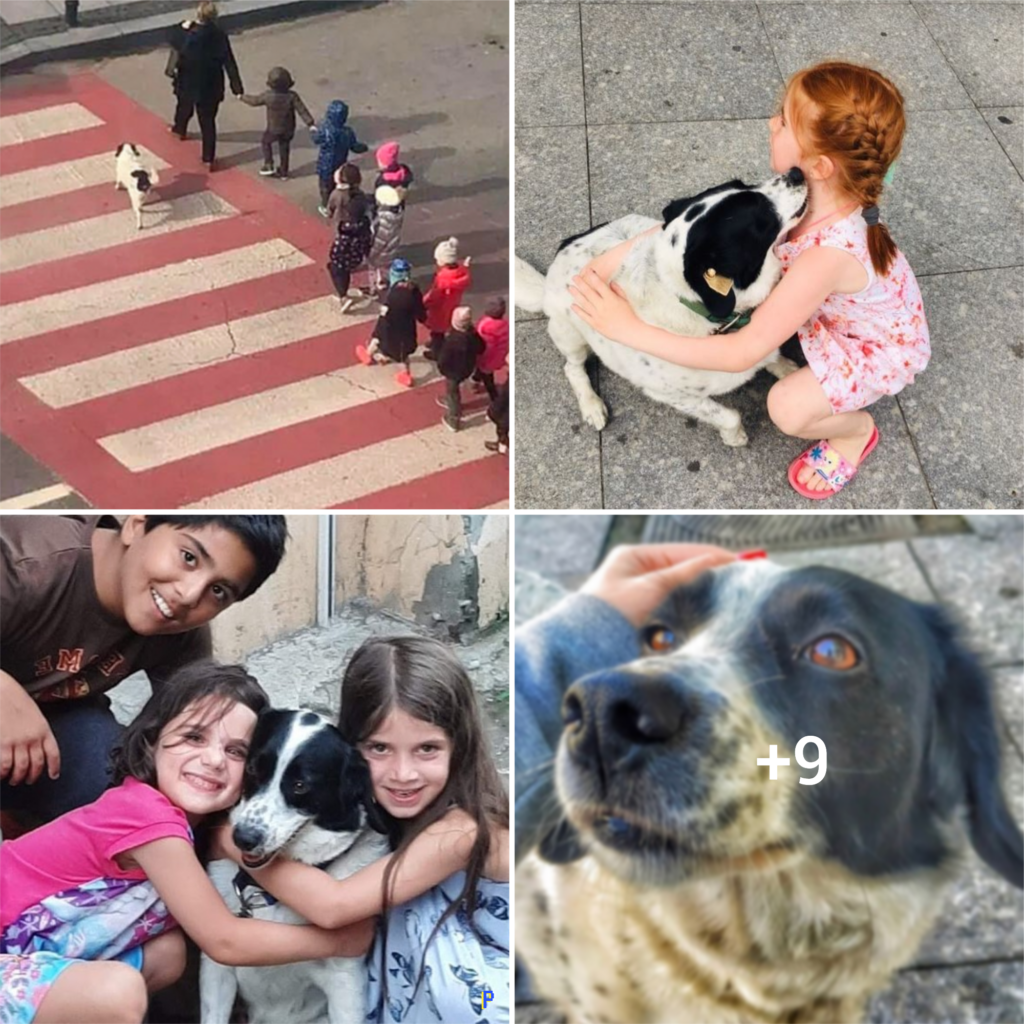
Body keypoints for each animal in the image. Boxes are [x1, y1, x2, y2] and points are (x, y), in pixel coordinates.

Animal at [199, 712, 387, 1024]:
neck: (265, 892)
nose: (243, 838)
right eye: (253, 768)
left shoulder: (345, 980)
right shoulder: (216, 969)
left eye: (300, 785)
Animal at [516, 169, 811, 446]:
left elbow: (770, 357)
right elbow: (729, 416)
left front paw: (783, 366)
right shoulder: (673, 395)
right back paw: (591, 405)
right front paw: (735, 436)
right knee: (572, 368)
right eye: (761, 218)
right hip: (569, 334)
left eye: (743, 183)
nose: (796, 172)